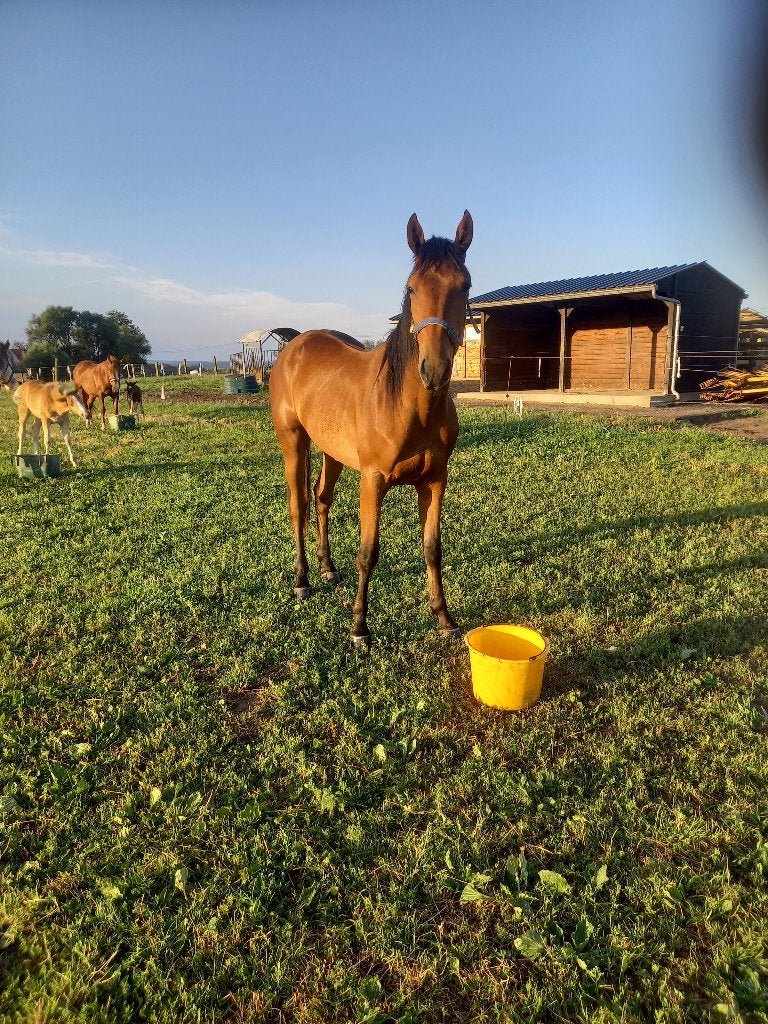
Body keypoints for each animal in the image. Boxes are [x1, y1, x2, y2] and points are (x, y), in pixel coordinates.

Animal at [270, 210, 473, 648]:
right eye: (411, 288)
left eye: (464, 285)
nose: (434, 370)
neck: (407, 407)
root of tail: (294, 345)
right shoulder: (373, 480)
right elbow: (368, 553)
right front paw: (360, 627)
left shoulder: (435, 480)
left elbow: (433, 548)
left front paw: (443, 617)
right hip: (294, 442)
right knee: (299, 506)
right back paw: (303, 580)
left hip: (331, 452)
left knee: (322, 498)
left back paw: (327, 568)